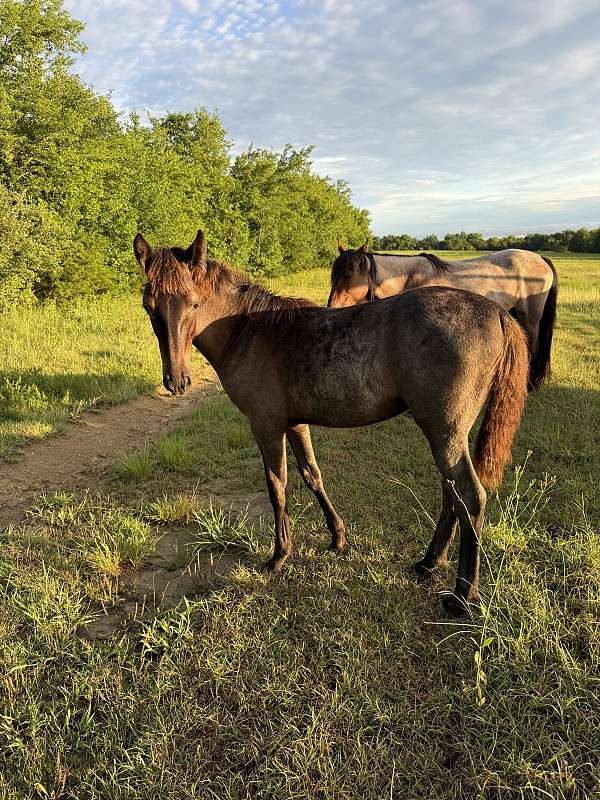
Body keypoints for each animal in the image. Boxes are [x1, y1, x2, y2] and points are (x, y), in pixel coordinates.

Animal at [134, 230, 528, 616]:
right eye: (148, 306)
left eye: (193, 303)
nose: (177, 381)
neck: (250, 330)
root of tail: (496, 312)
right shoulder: (294, 424)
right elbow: (312, 475)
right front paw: (337, 538)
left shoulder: (266, 425)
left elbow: (277, 485)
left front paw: (279, 556)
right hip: (447, 434)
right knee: (452, 494)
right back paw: (428, 563)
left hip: (443, 431)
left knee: (470, 496)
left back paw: (462, 597)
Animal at [328, 242, 557, 391]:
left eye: (347, 276)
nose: (330, 308)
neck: (410, 278)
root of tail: (540, 258)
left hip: (531, 319)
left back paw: (530, 385)